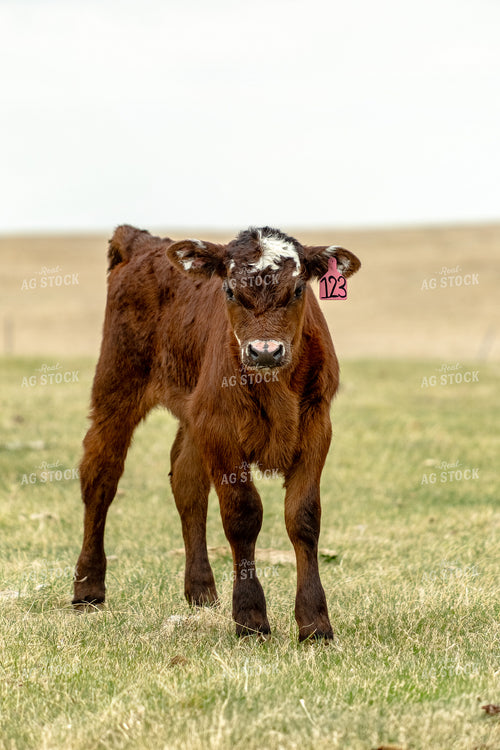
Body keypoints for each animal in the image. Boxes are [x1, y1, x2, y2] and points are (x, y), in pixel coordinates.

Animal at [73, 225, 361, 640]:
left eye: (297, 290)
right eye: (229, 290)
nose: (265, 351)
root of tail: (143, 241)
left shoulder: (316, 426)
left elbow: (303, 518)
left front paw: (315, 622)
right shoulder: (220, 429)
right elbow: (243, 515)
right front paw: (251, 617)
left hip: (192, 416)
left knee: (187, 483)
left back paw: (201, 589)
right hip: (117, 386)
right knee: (100, 476)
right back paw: (88, 587)